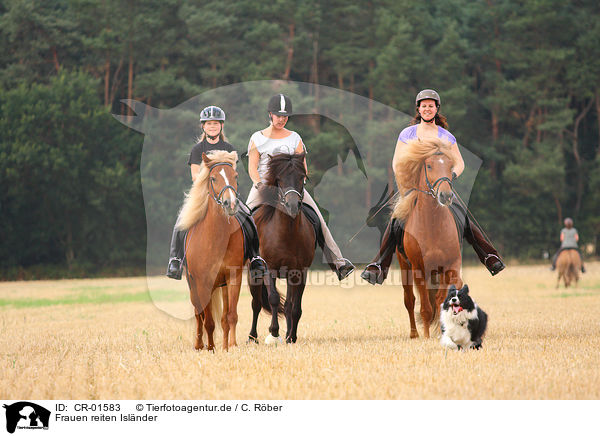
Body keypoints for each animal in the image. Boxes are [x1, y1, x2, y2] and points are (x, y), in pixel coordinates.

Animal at [177, 150, 245, 350]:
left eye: (235, 176)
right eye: (213, 178)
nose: (230, 204)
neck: (216, 237)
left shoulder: (233, 277)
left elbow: (231, 316)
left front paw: (231, 346)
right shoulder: (203, 281)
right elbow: (208, 321)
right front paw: (210, 348)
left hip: (221, 286)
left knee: (223, 317)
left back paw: (223, 345)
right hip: (193, 286)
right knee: (198, 314)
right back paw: (199, 345)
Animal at [247, 153, 316, 344]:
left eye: (302, 177)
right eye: (279, 179)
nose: (292, 206)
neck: (288, 234)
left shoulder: (299, 271)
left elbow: (294, 307)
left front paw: (291, 337)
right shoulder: (269, 269)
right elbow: (273, 299)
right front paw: (274, 332)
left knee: (288, 305)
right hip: (254, 273)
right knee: (256, 304)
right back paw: (252, 337)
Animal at [390, 138, 464, 338]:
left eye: (450, 166)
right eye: (429, 165)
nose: (445, 195)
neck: (432, 225)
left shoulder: (449, 266)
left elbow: (441, 301)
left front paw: (442, 332)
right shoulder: (418, 268)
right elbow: (425, 307)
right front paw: (426, 336)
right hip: (404, 266)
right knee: (409, 299)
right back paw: (414, 334)